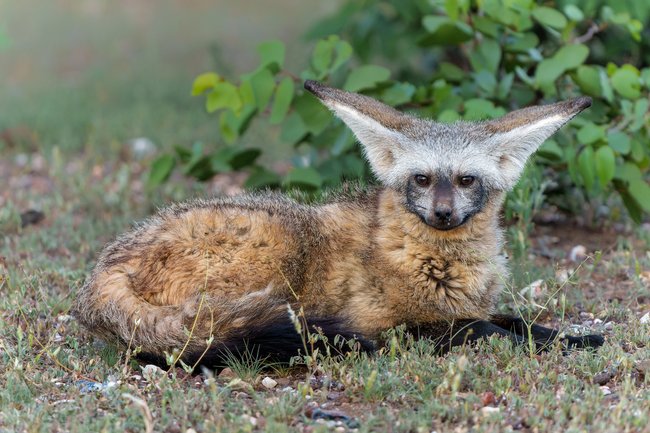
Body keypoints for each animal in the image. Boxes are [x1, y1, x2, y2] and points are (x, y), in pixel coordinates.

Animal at [74, 79, 604, 366]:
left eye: (466, 180)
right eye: (422, 179)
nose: (442, 214)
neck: (441, 267)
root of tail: (105, 267)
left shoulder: (467, 306)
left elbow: (518, 321)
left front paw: (574, 337)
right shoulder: (390, 322)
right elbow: (486, 330)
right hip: (280, 258)